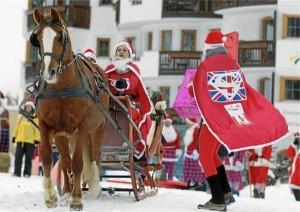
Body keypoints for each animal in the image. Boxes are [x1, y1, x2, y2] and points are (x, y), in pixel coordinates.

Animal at [30, 7, 109, 209]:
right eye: (37, 39)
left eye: (61, 37)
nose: (48, 73)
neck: (63, 89)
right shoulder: (46, 125)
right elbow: (48, 157)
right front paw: (51, 196)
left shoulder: (82, 128)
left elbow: (79, 162)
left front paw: (76, 199)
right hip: (63, 135)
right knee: (66, 161)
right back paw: (66, 191)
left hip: (98, 127)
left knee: (95, 155)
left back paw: (94, 187)